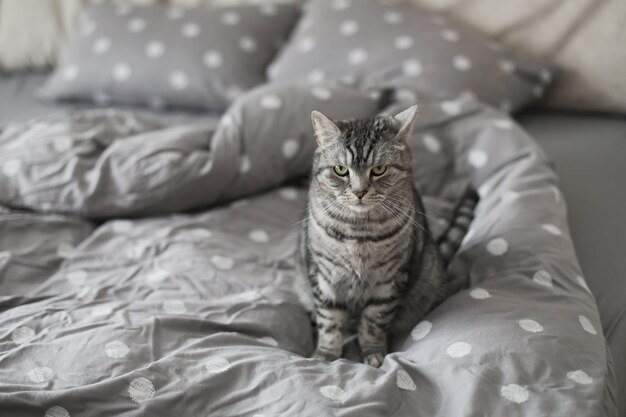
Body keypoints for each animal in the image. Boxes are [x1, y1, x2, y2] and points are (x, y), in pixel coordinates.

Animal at [294, 105, 476, 368]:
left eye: (379, 169)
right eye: (341, 170)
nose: (359, 191)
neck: (358, 232)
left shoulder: (389, 279)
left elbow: (373, 322)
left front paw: (373, 354)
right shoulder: (324, 275)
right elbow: (329, 321)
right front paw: (325, 355)